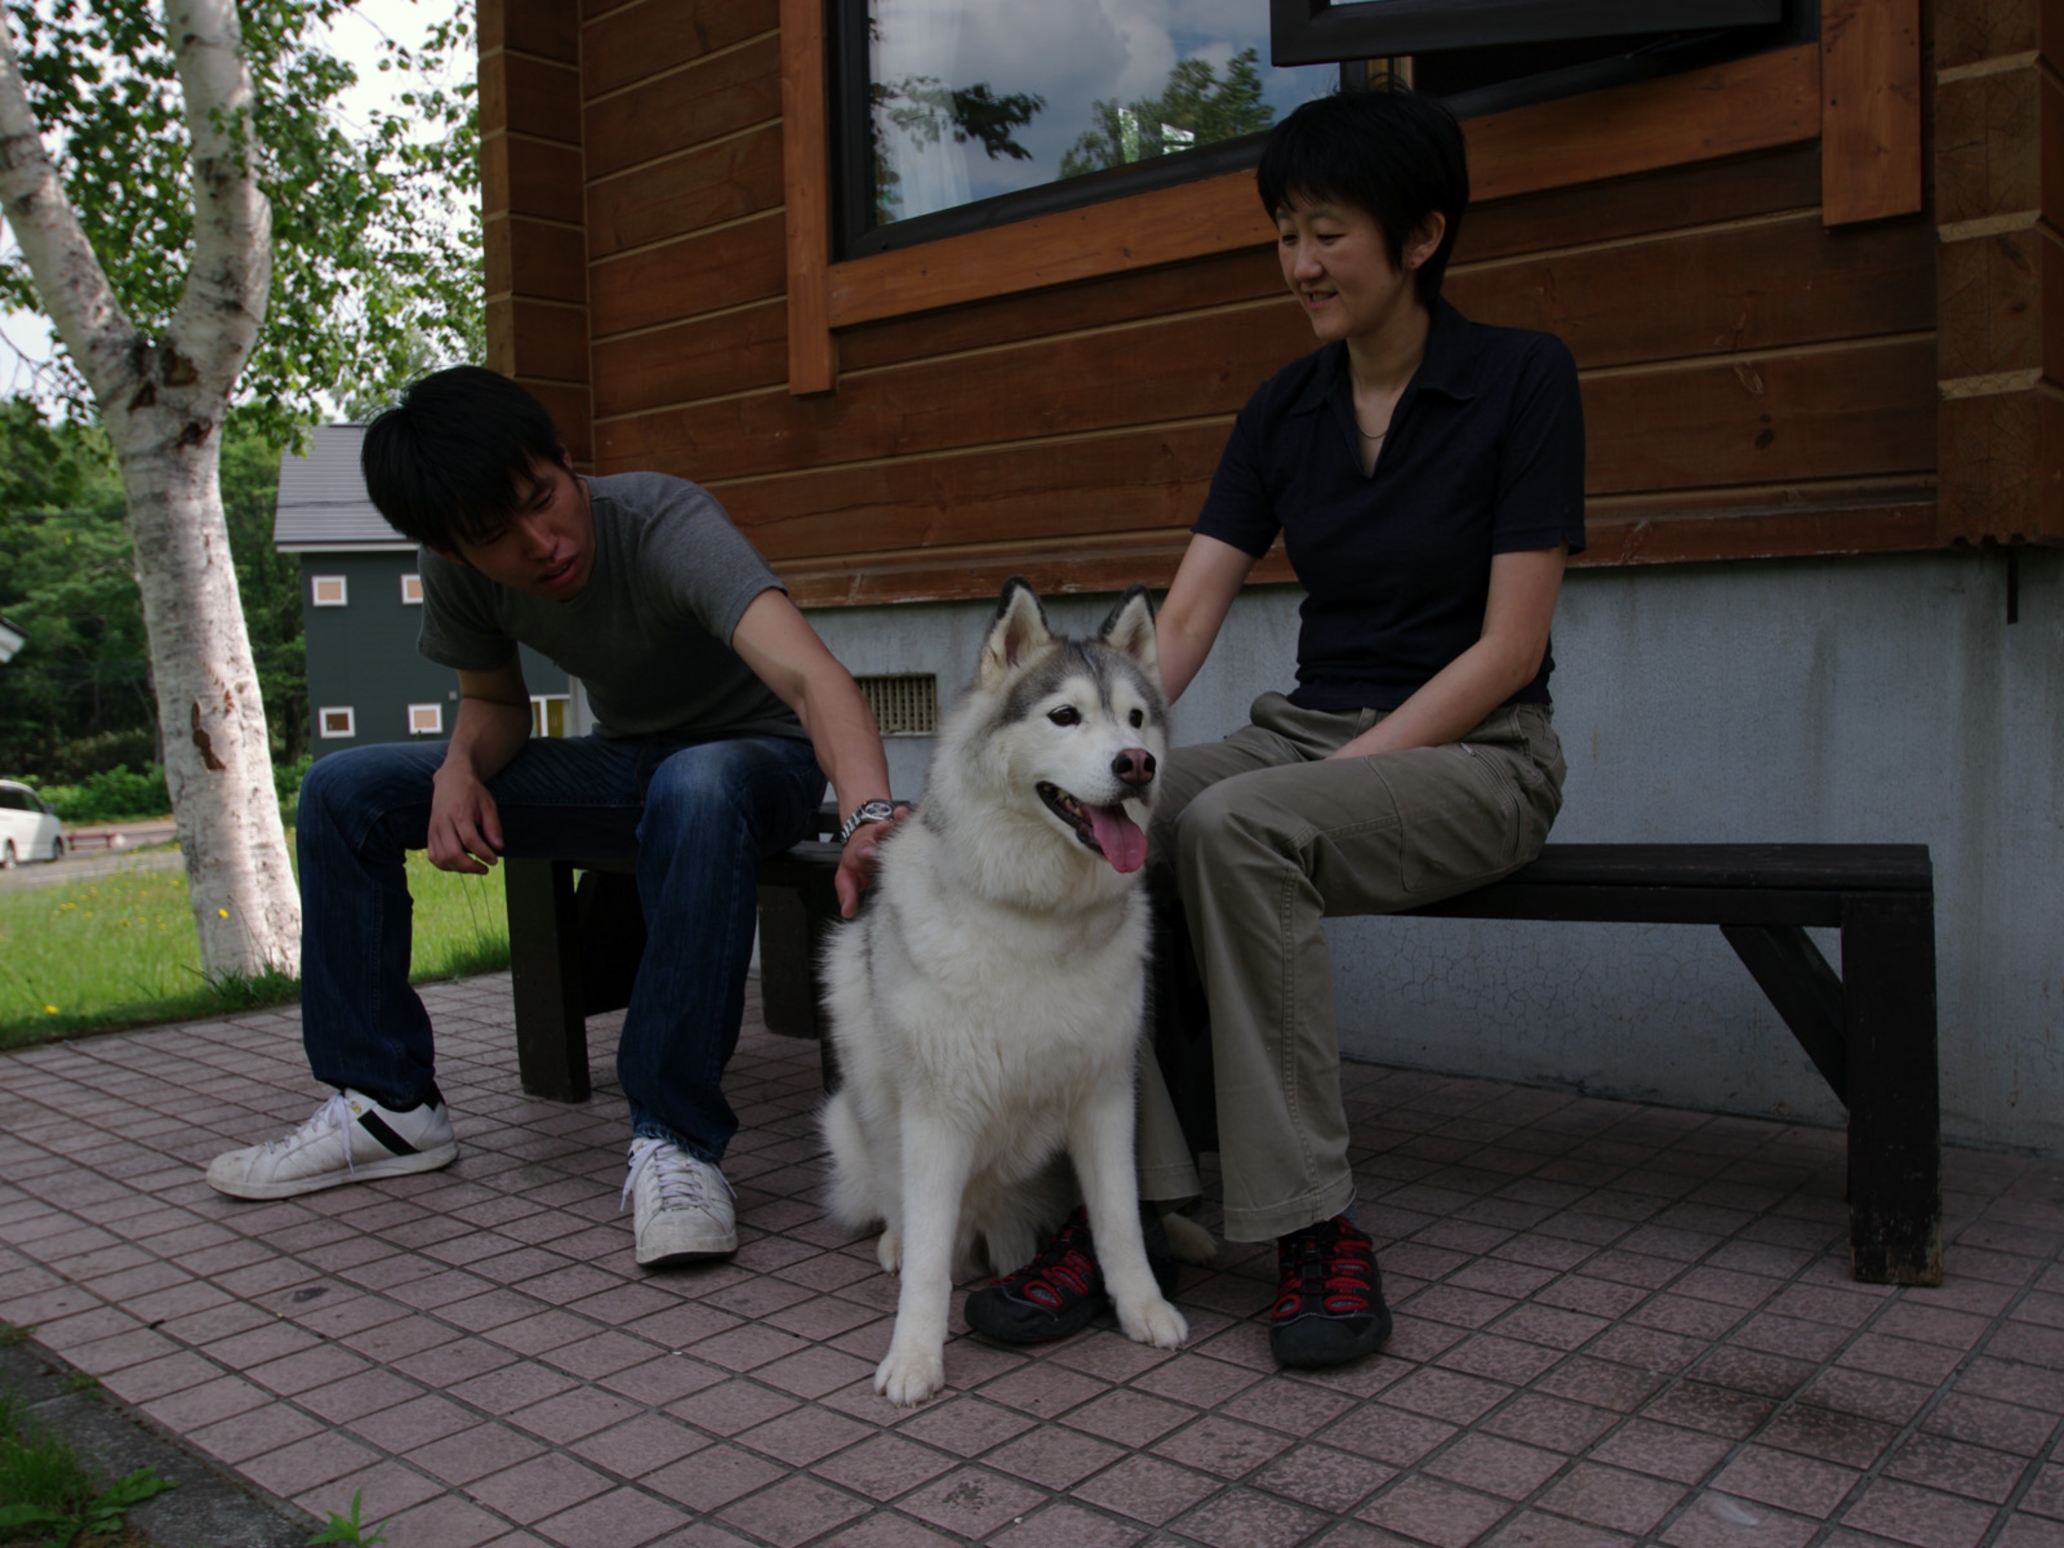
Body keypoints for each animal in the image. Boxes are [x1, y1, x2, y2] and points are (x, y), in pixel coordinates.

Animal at [817, 577, 1188, 1403]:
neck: (1034, 919)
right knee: (898, 1209)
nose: (1138, 764)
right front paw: (914, 1356)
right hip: (850, 1090)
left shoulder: (1106, 1097)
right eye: (1065, 716)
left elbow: (1119, 1220)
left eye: (1136, 717)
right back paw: (896, 1242)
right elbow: (928, 1257)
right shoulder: (937, 1116)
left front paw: (1141, 1307)